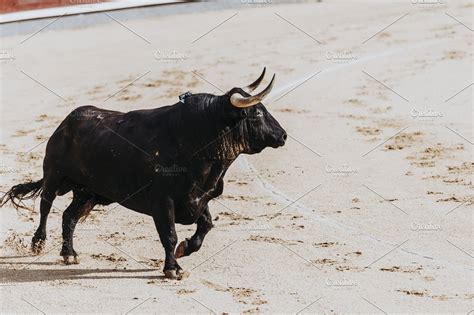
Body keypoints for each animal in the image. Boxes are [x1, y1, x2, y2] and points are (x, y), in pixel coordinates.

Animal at [0, 70, 286, 280]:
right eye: (256, 112)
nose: (282, 135)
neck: (198, 139)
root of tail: (67, 122)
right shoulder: (163, 202)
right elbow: (169, 235)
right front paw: (173, 269)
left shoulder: (199, 198)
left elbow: (205, 226)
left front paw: (184, 250)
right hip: (54, 175)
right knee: (45, 206)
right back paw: (38, 243)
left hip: (90, 193)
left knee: (69, 216)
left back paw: (69, 253)